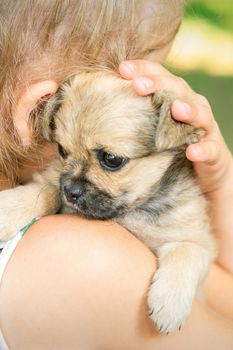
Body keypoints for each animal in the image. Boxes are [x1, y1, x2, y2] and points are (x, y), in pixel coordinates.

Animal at [0, 70, 216, 334]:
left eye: (111, 159)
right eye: (62, 150)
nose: (70, 191)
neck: (130, 210)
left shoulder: (199, 242)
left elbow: (186, 251)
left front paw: (170, 304)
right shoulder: (53, 180)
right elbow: (47, 190)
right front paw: (8, 209)